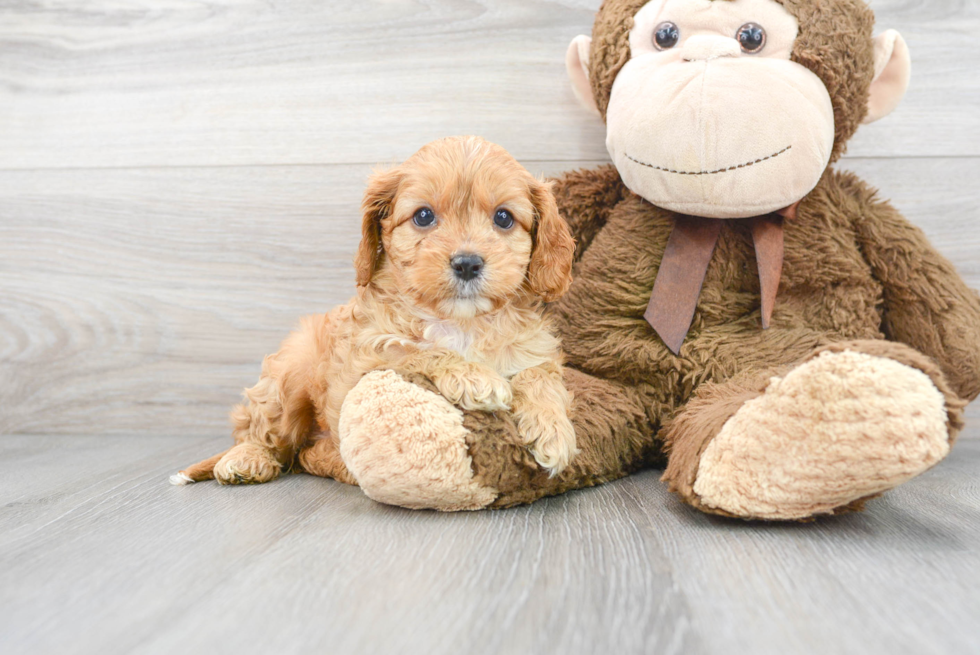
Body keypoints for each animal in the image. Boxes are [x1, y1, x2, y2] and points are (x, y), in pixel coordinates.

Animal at [172, 137, 580, 486]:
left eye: (504, 218)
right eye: (423, 216)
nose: (466, 263)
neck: (461, 322)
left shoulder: (534, 349)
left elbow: (540, 375)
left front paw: (553, 430)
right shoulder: (364, 358)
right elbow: (416, 350)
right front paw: (474, 377)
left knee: (306, 454)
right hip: (289, 373)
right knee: (266, 434)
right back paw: (248, 458)